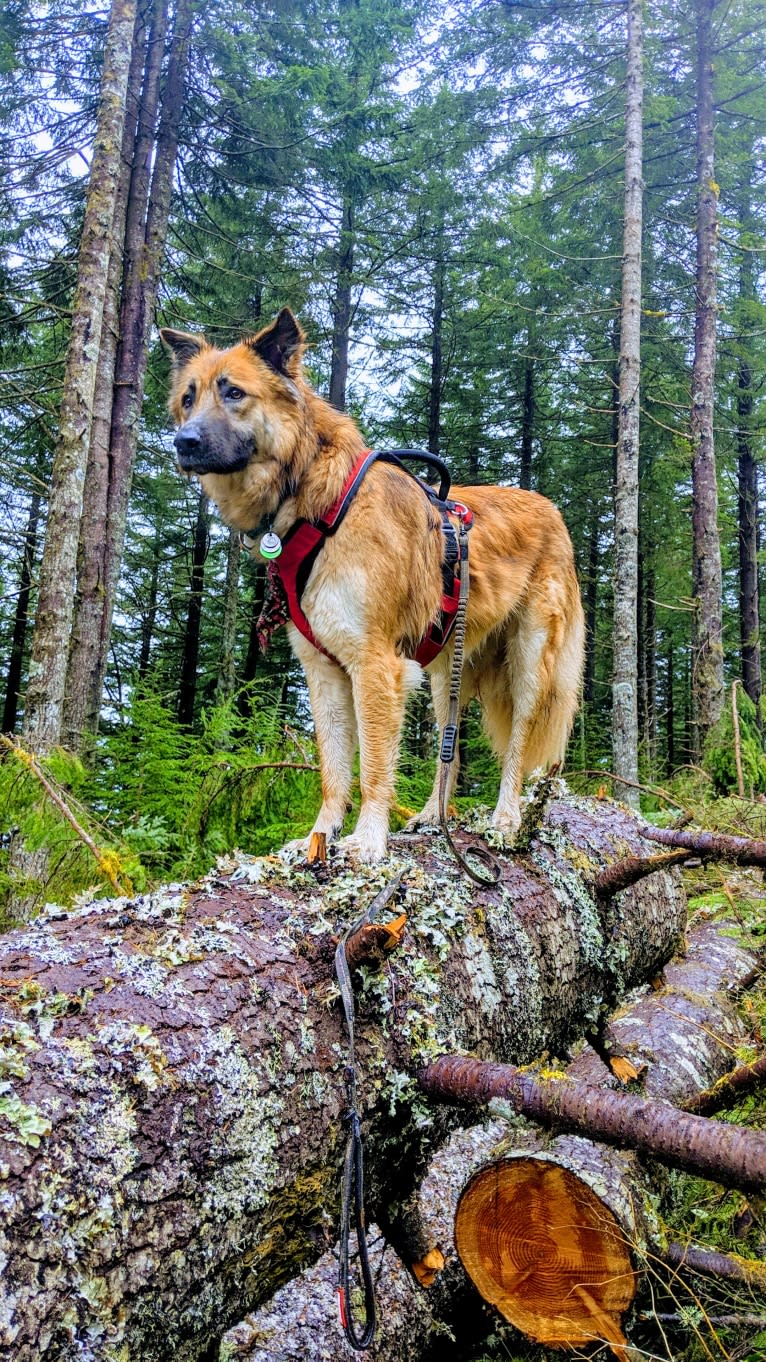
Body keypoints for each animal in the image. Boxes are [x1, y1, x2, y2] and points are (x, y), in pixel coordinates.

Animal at [159, 310, 577, 860]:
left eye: (233, 392)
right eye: (188, 397)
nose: (183, 442)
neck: (317, 501)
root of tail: (552, 510)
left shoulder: (375, 664)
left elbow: (374, 765)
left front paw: (368, 838)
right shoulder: (324, 673)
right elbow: (334, 770)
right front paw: (320, 835)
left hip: (529, 665)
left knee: (517, 748)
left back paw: (506, 819)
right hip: (445, 670)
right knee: (448, 750)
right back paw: (433, 815)